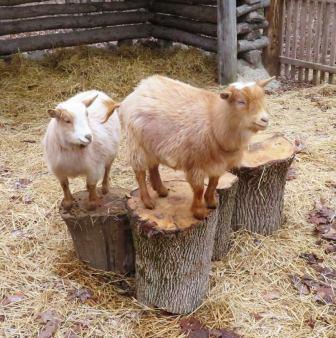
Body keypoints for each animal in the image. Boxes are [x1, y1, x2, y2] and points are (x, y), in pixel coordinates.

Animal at [106, 75, 274, 219]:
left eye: (263, 98)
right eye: (241, 102)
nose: (264, 119)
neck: (213, 121)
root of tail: (137, 90)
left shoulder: (218, 163)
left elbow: (214, 182)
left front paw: (211, 202)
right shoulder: (196, 163)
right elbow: (198, 189)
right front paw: (199, 212)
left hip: (153, 143)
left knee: (153, 166)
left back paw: (161, 190)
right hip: (136, 144)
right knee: (140, 173)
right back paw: (148, 202)